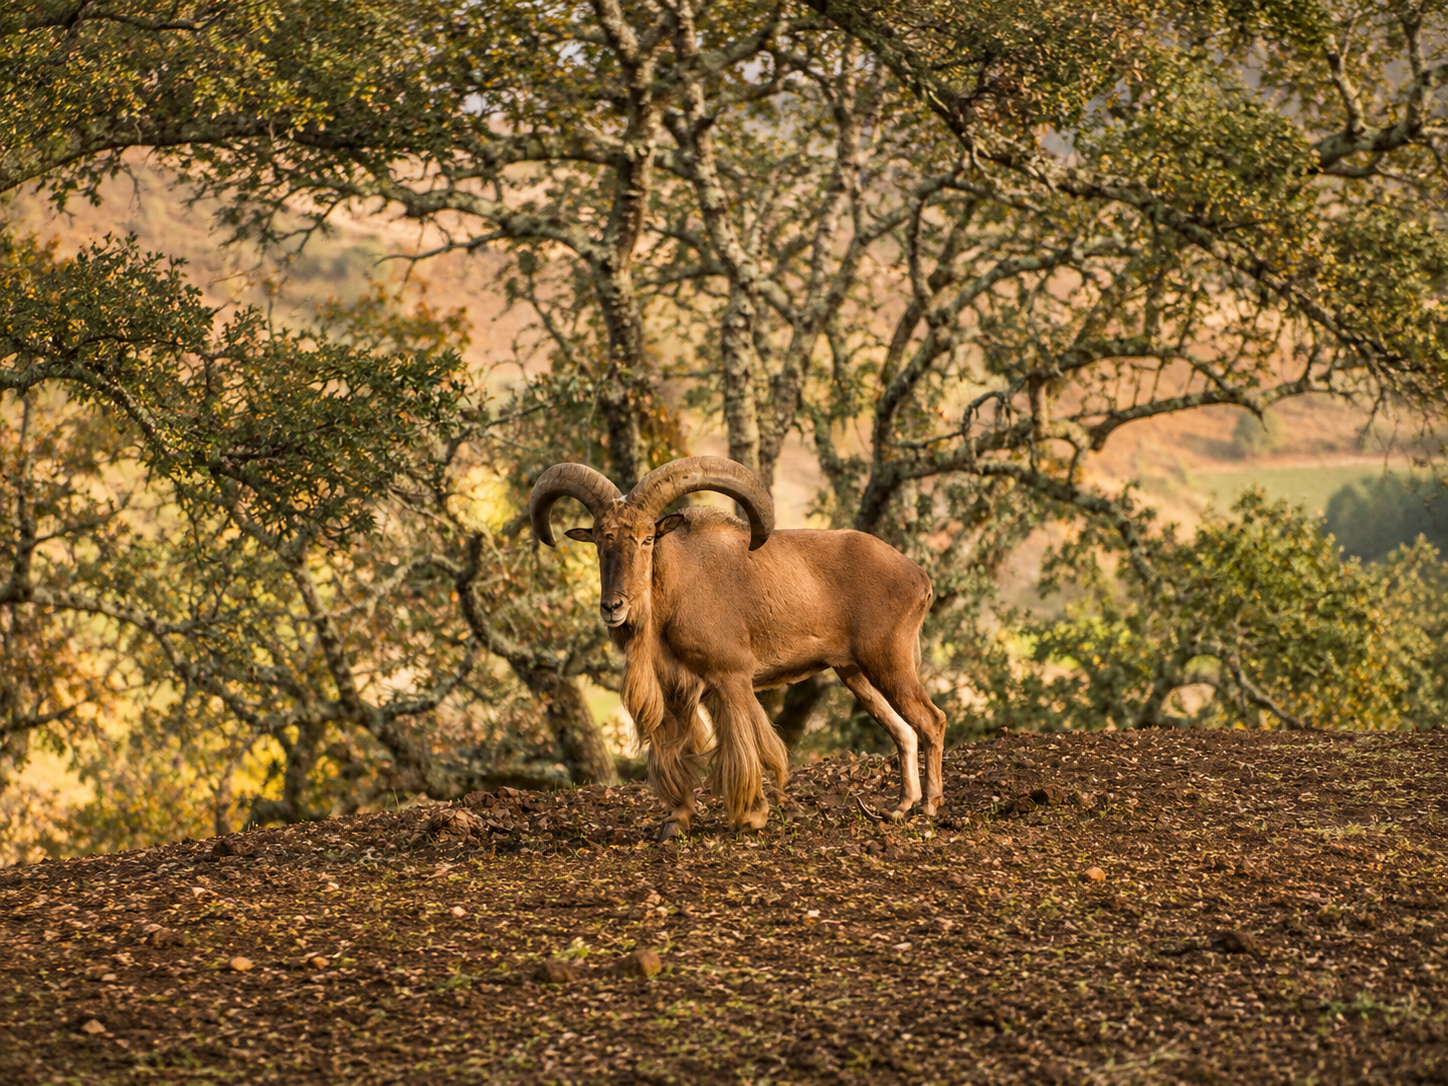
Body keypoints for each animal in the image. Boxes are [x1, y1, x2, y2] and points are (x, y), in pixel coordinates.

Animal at [530, 455, 948, 839]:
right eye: (602, 540)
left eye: (647, 538)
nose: (613, 607)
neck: (676, 587)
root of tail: (919, 576)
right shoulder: (678, 689)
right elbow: (676, 750)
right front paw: (675, 821)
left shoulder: (729, 676)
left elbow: (746, 743)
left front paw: (752, 816)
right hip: (855, 672)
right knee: (903, 732)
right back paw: (901, 807)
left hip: (889, 662)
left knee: (931, 720)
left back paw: (929, 806)